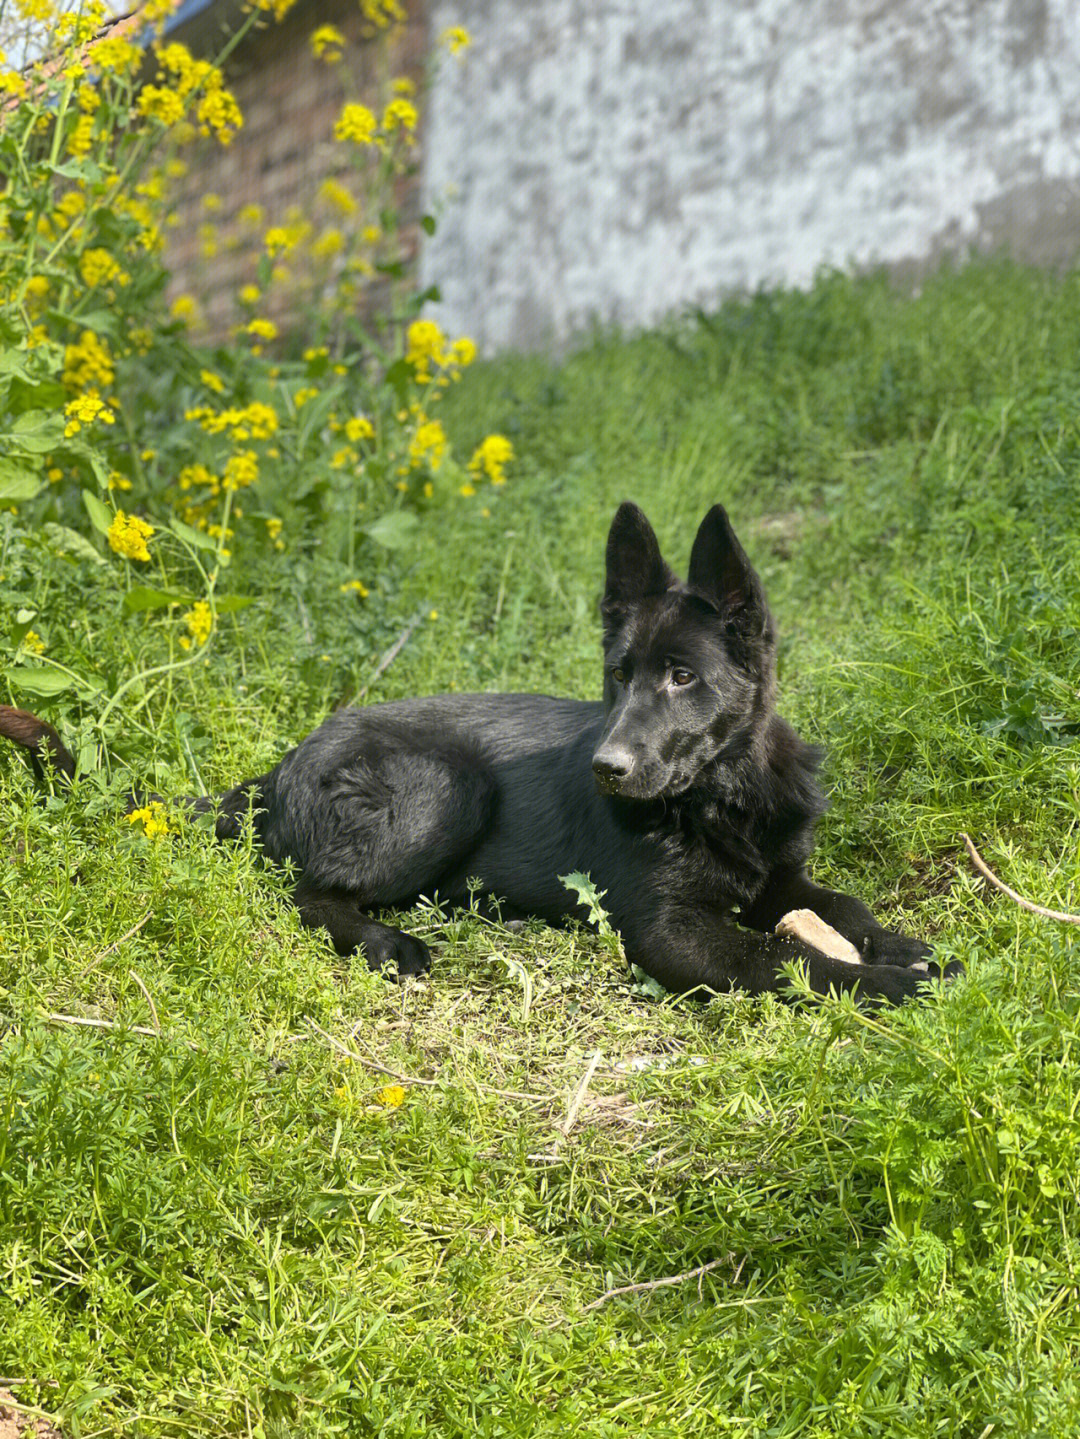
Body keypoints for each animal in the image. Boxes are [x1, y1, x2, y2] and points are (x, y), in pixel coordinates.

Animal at [0, 506, 954, 1001]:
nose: (608, 770)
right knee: (301, 892)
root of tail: (273, 773)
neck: (722, 794)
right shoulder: (669, 931)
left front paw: (910, 948)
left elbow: (844, 906)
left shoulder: (779, 878)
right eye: (620, 676)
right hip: (445, 787)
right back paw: (388, 942)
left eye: (683, 675)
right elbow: (788, 956)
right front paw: (889, 982)